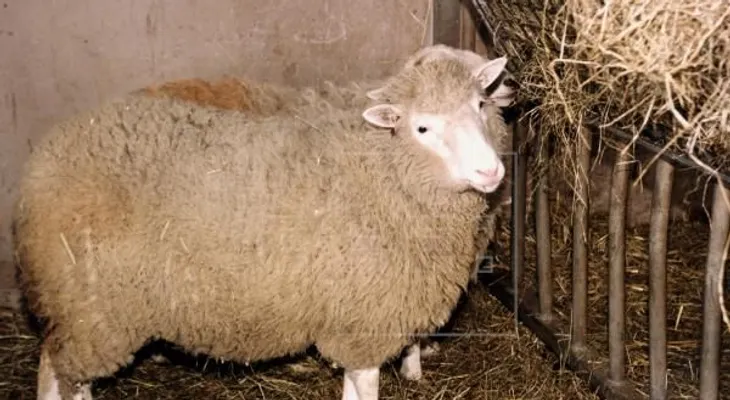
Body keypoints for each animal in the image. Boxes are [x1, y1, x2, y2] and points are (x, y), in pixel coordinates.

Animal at [12, 54, 512, 400]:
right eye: (422, 128)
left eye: (480, 104)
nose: (491, 172)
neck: (379, 171)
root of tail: (42, 164)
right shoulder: (362, 318)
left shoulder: (356, 316)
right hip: (93, 309)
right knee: (63, 377)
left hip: (78, 309)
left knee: (57, 371)